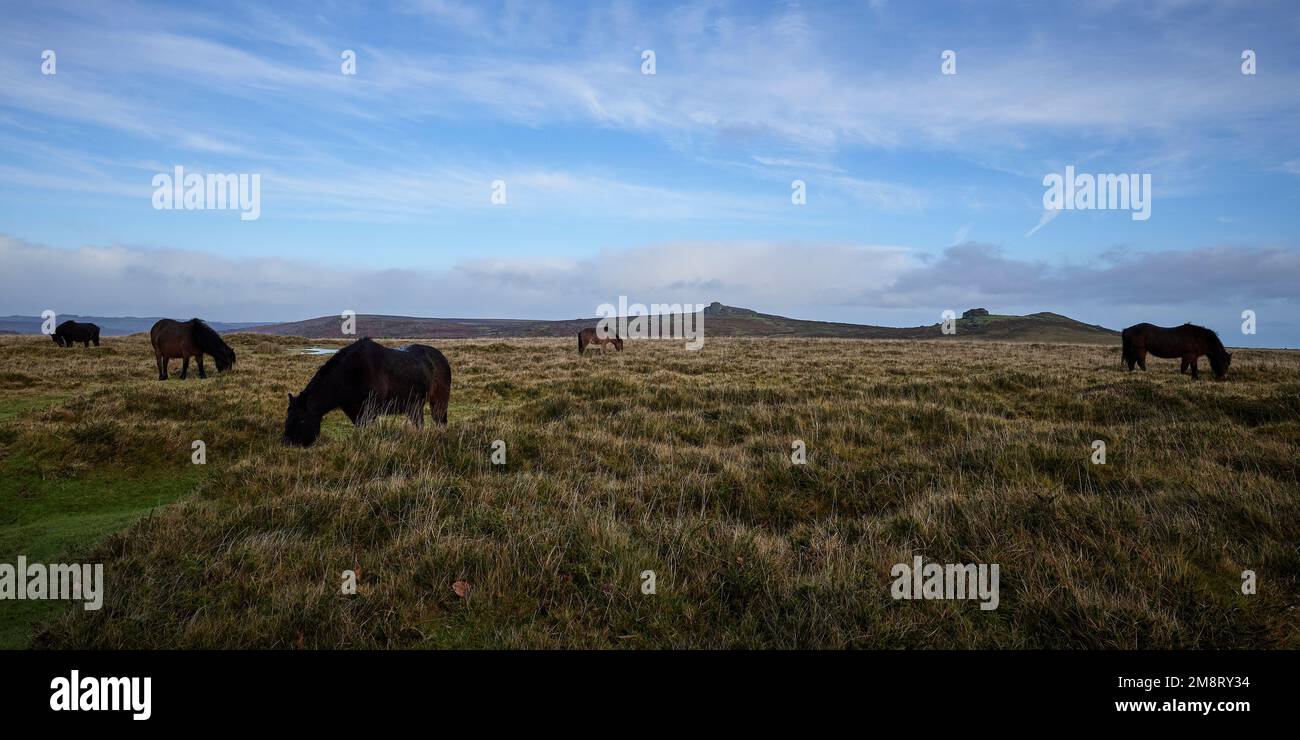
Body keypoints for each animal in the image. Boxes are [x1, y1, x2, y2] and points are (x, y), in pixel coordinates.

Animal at [280, 338, 452, 447]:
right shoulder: (355, 412)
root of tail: (441, 357)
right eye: (287, 417)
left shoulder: (369, 411)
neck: (349, 374)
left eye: (301, 419)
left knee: (439, 422)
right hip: (414, 406)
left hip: (438, 403)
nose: (286, 444)